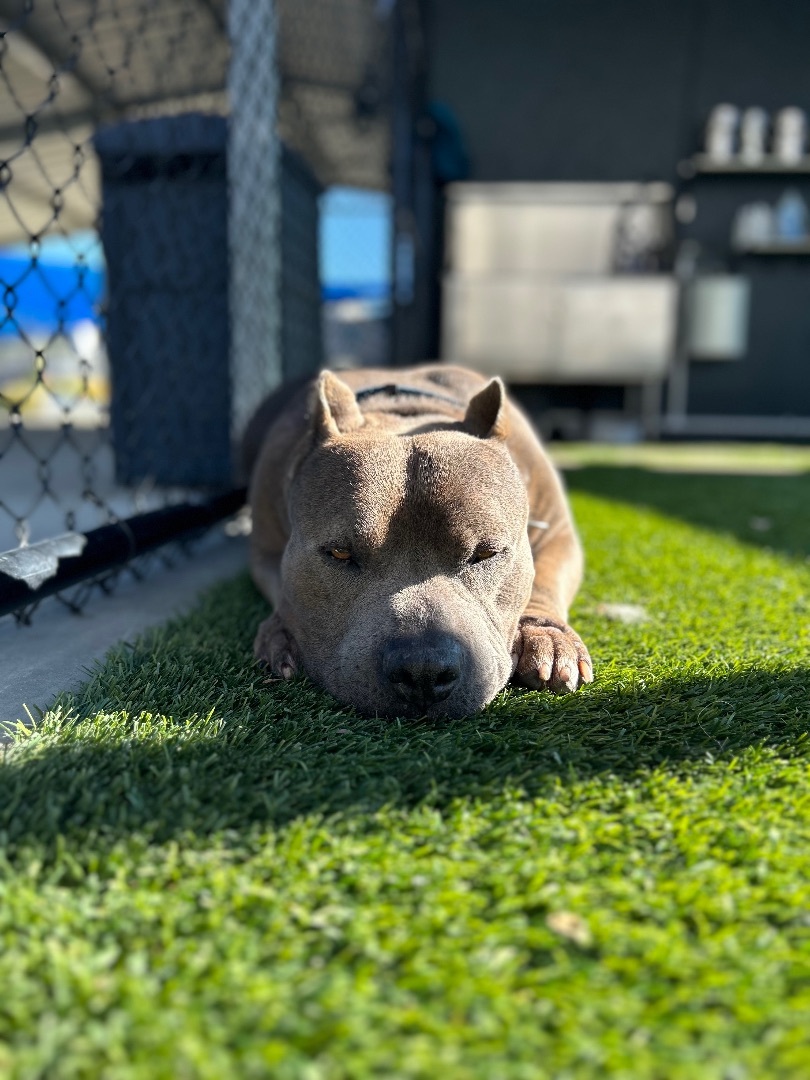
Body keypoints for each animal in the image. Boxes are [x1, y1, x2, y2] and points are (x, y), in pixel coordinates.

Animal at [244, 362, 591, 717]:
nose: (423, 670)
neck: (403, 415)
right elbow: (281, 587)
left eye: (485, 554)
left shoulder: (557, 532)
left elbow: (544, 582)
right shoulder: (265, 549)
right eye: (339, 553)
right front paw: (281, 630)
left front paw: (546, 636)